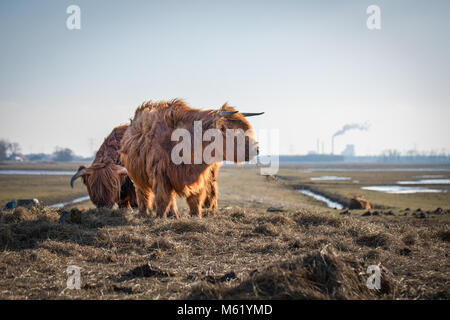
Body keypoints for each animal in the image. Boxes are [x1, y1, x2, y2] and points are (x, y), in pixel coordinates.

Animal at [119, 99, 264, 218]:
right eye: (234, 131)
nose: (256, 149)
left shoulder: (200, 175)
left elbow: (195, 198)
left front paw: (195, 215)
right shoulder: (160, 173)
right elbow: (162, 198)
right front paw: (160, 216)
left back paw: (173, 215)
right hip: (137, 176)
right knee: (143, 193)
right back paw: (144, 212)